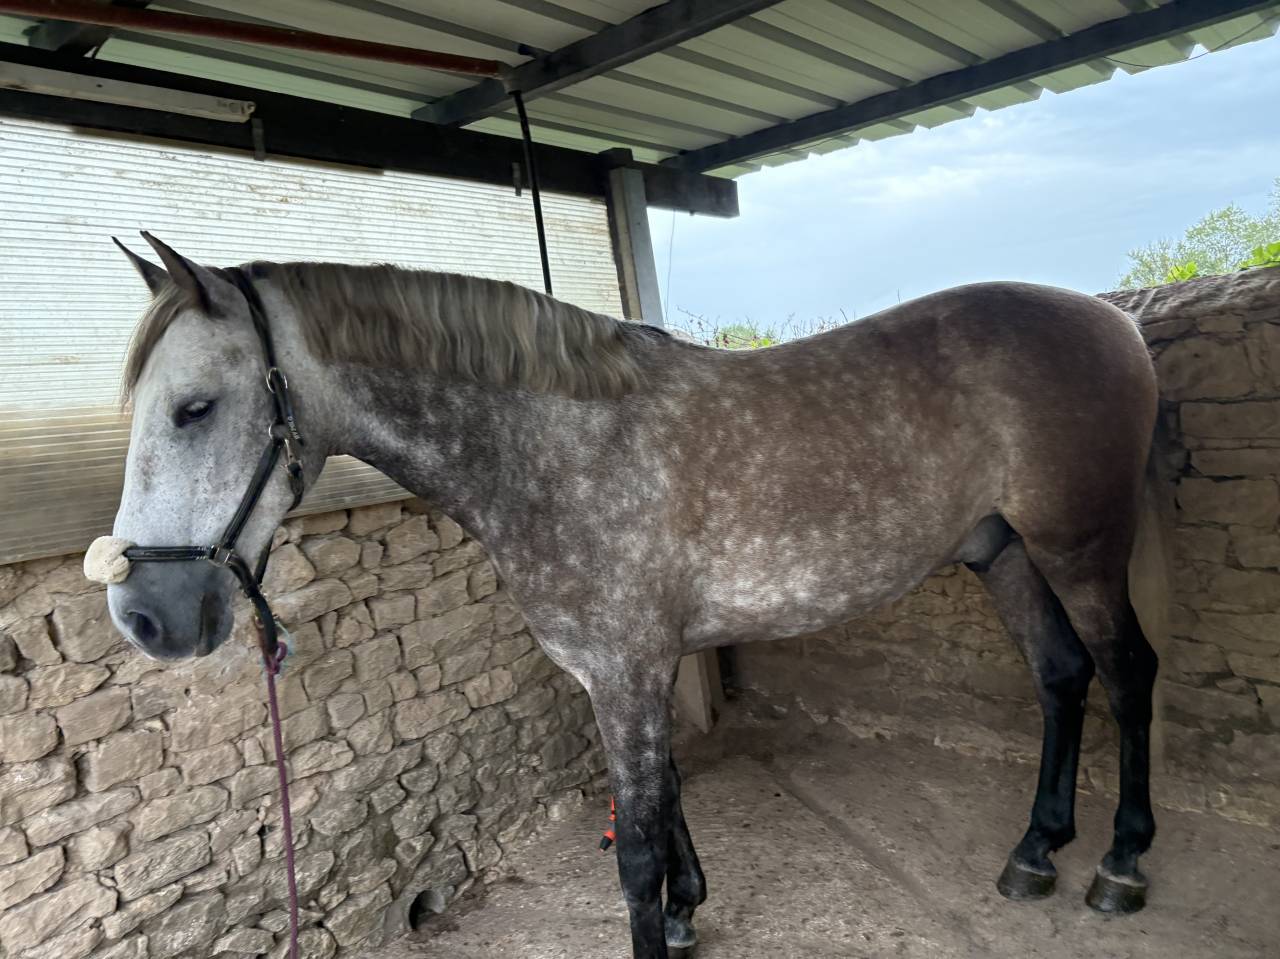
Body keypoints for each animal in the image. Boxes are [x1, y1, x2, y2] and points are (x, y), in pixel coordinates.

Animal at [100, 234, 1159, 959]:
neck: (561, 445)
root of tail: (1116, 319)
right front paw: (690, 910)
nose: (145, 613)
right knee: (1061, 676)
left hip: (1081, 547)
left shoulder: (627, 667)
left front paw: (669, 913)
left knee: (1127, 673)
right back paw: (1036, 850)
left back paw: (1119, 863)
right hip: (1003, 551)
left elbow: (635, 850)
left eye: (194, 407)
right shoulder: (620, 670)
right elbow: (664, 802)